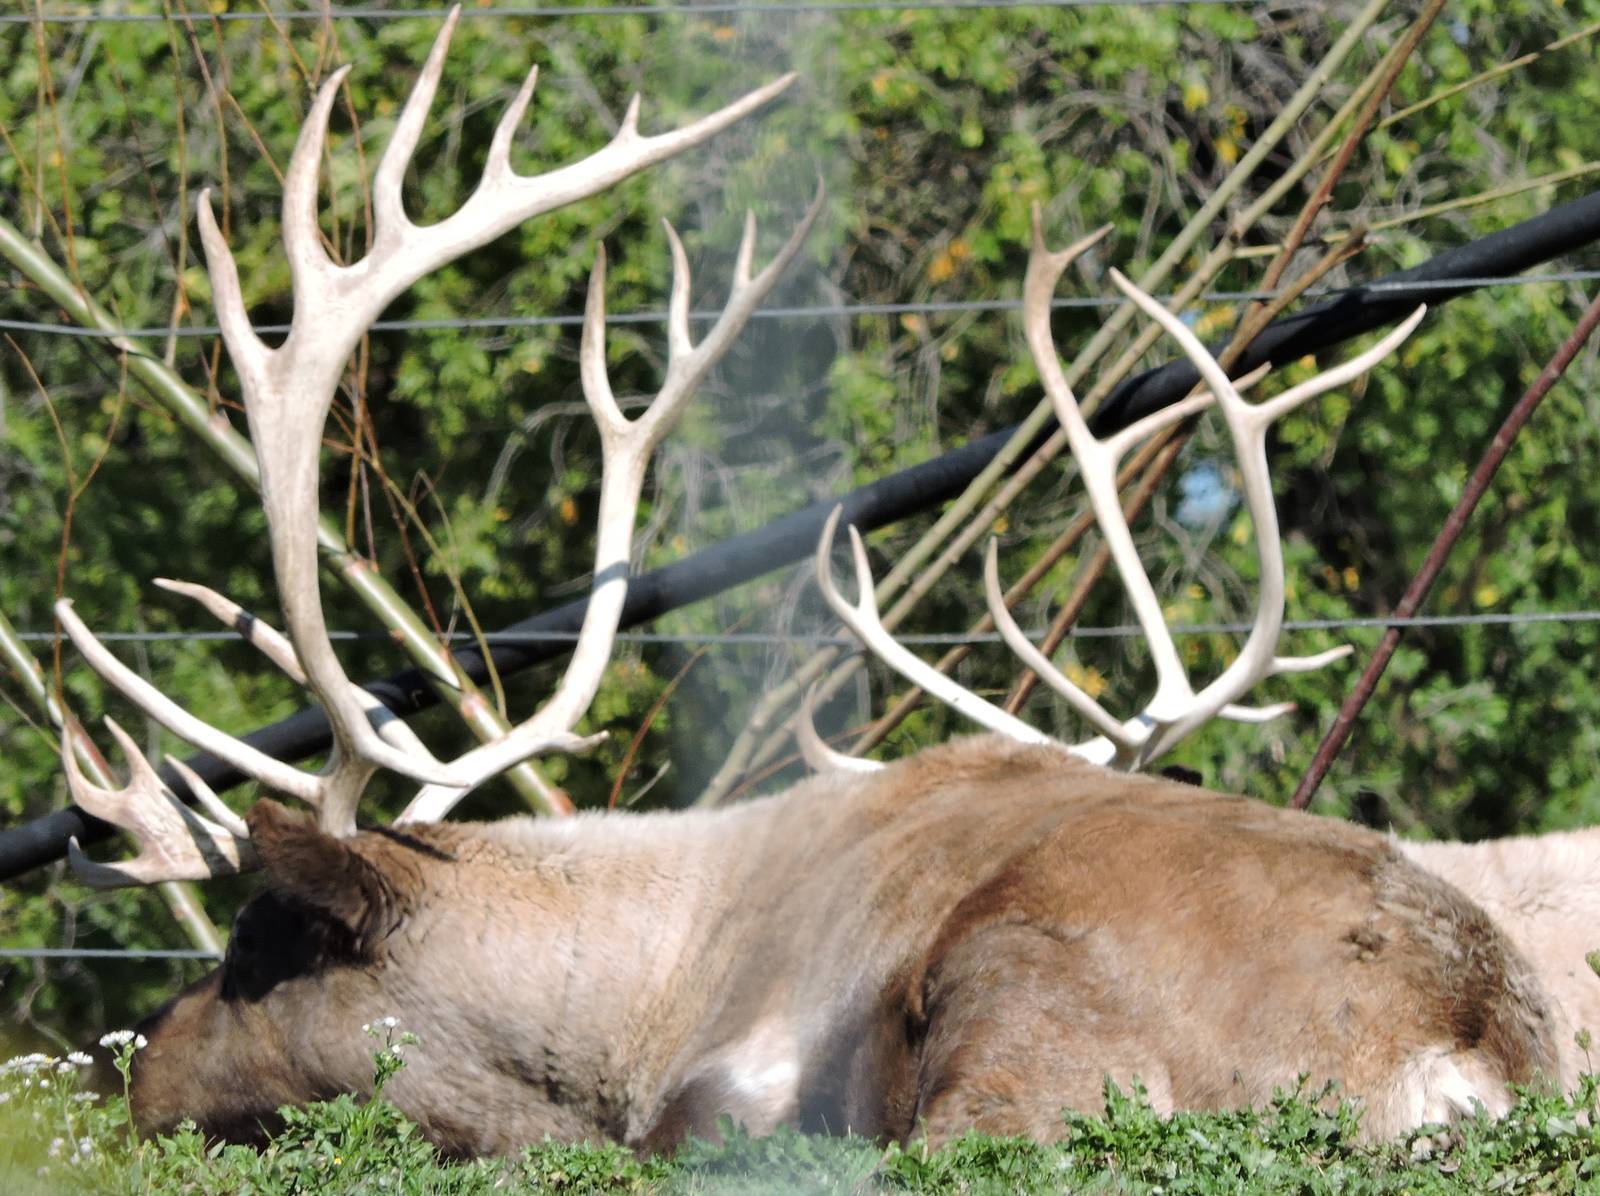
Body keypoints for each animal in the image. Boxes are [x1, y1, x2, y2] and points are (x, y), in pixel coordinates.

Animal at [47, 8, 1599, 1159]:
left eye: (259, 941)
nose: (123, 1082)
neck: (637, 995)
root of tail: (1464, 1056)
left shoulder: (738, 1082)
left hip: (1014, 993)